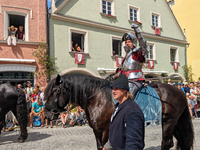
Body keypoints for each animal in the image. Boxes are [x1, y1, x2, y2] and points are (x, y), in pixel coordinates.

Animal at [44, 74, 193, 150]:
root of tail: (179, 90)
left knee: (166, 143)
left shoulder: (105, 130)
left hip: (169, 121)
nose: (46, 114)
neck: (98, 97)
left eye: (55, 91)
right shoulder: (97, 131)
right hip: (175, 122)